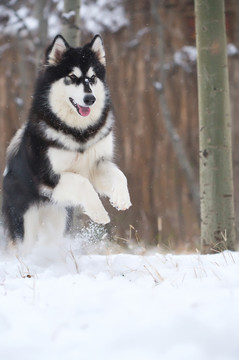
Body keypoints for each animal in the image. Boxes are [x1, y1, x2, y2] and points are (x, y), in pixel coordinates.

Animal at [1, 35, 132, 250]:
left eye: (93, 78)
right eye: (71, 76)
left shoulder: (96, 164)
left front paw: (121, 198)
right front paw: (99, 213)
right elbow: (82, 183)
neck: (78, 132)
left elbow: (120, 175)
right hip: (25, 222)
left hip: (59, 220)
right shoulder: (48, 177)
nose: (90, 98)